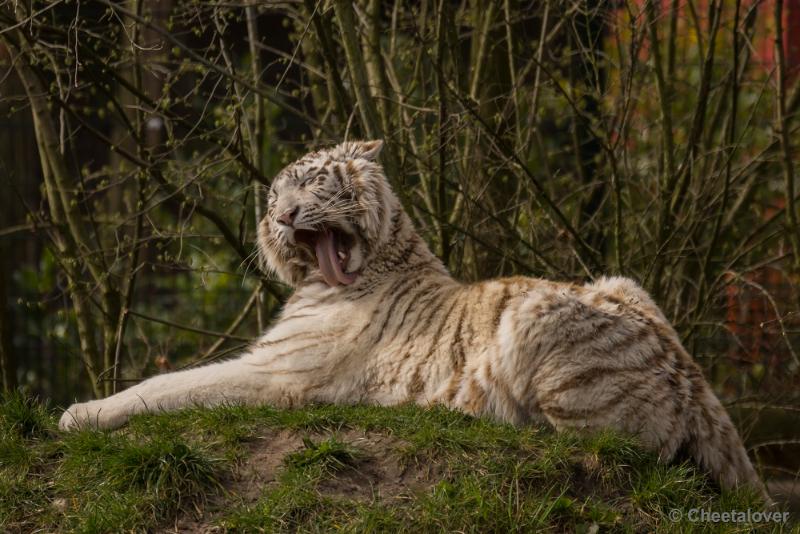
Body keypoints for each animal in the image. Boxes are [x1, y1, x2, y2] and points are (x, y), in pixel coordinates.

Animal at [59, 141, 764, 498]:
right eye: (274, 195)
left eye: (309, 185)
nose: (283, 217)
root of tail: (691, 375)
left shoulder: (278, 373)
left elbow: (171, 385)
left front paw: (79, 414)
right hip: (620, 280)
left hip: (533, 318)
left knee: (608, 446)